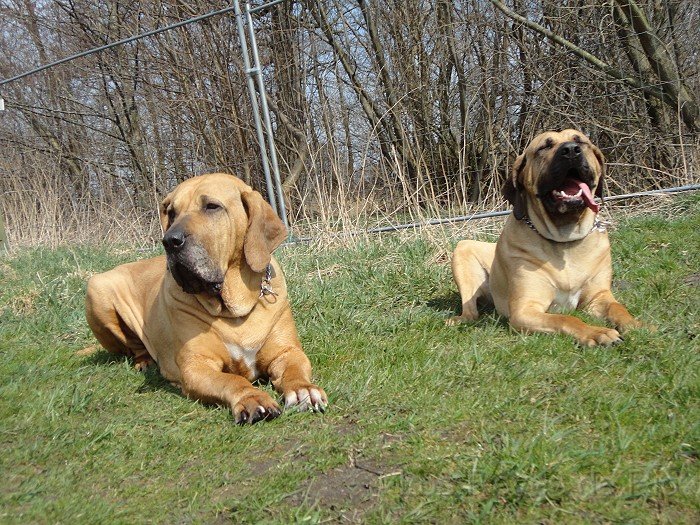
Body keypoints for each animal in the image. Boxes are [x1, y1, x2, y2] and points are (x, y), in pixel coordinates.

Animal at [86, 174, 326, 424]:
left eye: (211, 206)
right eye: (171, 213)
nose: (170, 241)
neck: (233, 310)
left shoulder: (286, 352)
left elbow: (294, 369)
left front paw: (303, 389)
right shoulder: (196, 366)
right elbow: (232, 380)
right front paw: (252, 398)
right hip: (97, 287)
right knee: (134, 346)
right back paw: (144, 361)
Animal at [448, 129, 644, 346]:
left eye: (580, 141)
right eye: (544, 147)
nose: (571, 150)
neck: (564, 239)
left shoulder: (597, 297)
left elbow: (617, 307)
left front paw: (635, 325)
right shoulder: (525, 310)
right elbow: (567, 319)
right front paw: (598, 333)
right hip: (463, 250)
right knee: (470, 311)